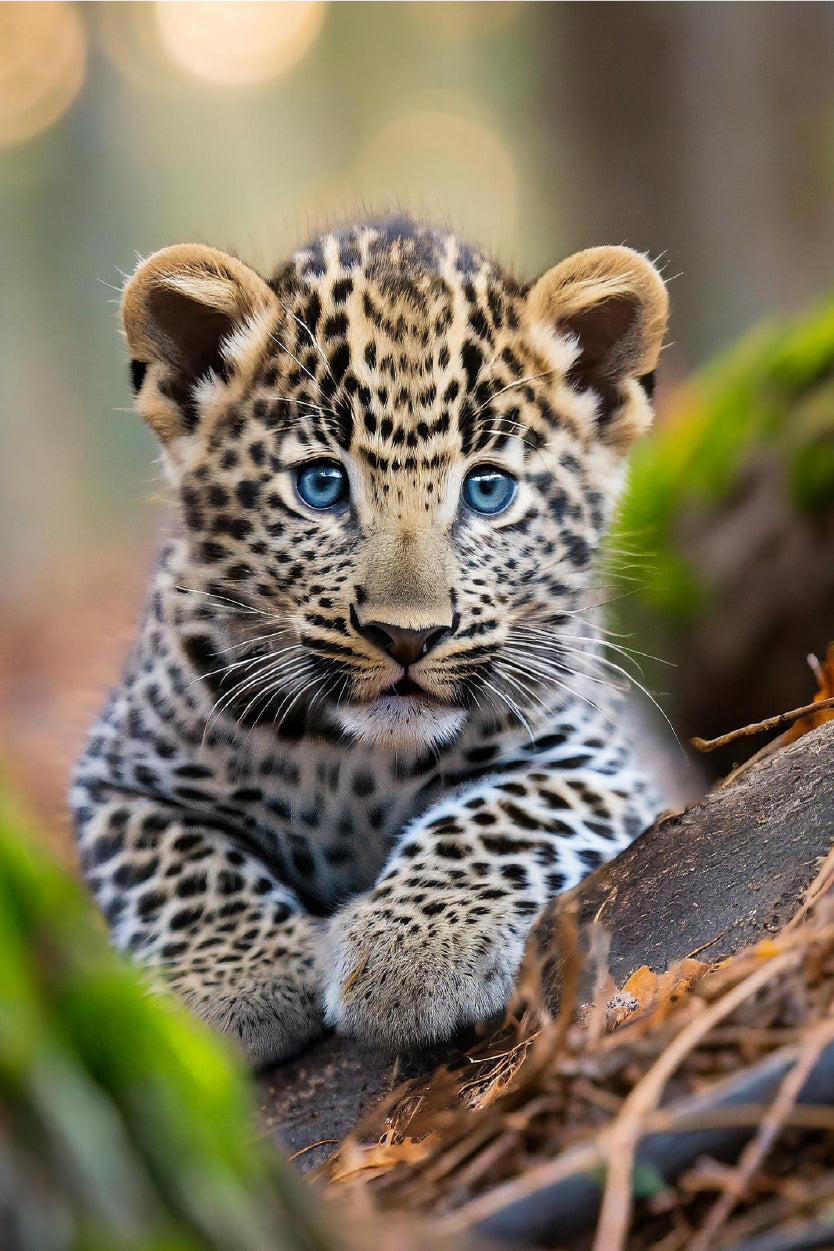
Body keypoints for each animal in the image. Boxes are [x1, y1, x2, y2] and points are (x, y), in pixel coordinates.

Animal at [71, 216, 669, 1068]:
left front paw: (414, 952)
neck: (350, 765)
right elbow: (179, 864)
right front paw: (238, 981)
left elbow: (497, 814)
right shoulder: (118, 778)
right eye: (321, 485)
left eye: (489, 489)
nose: (406, 636)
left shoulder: (593, 758)